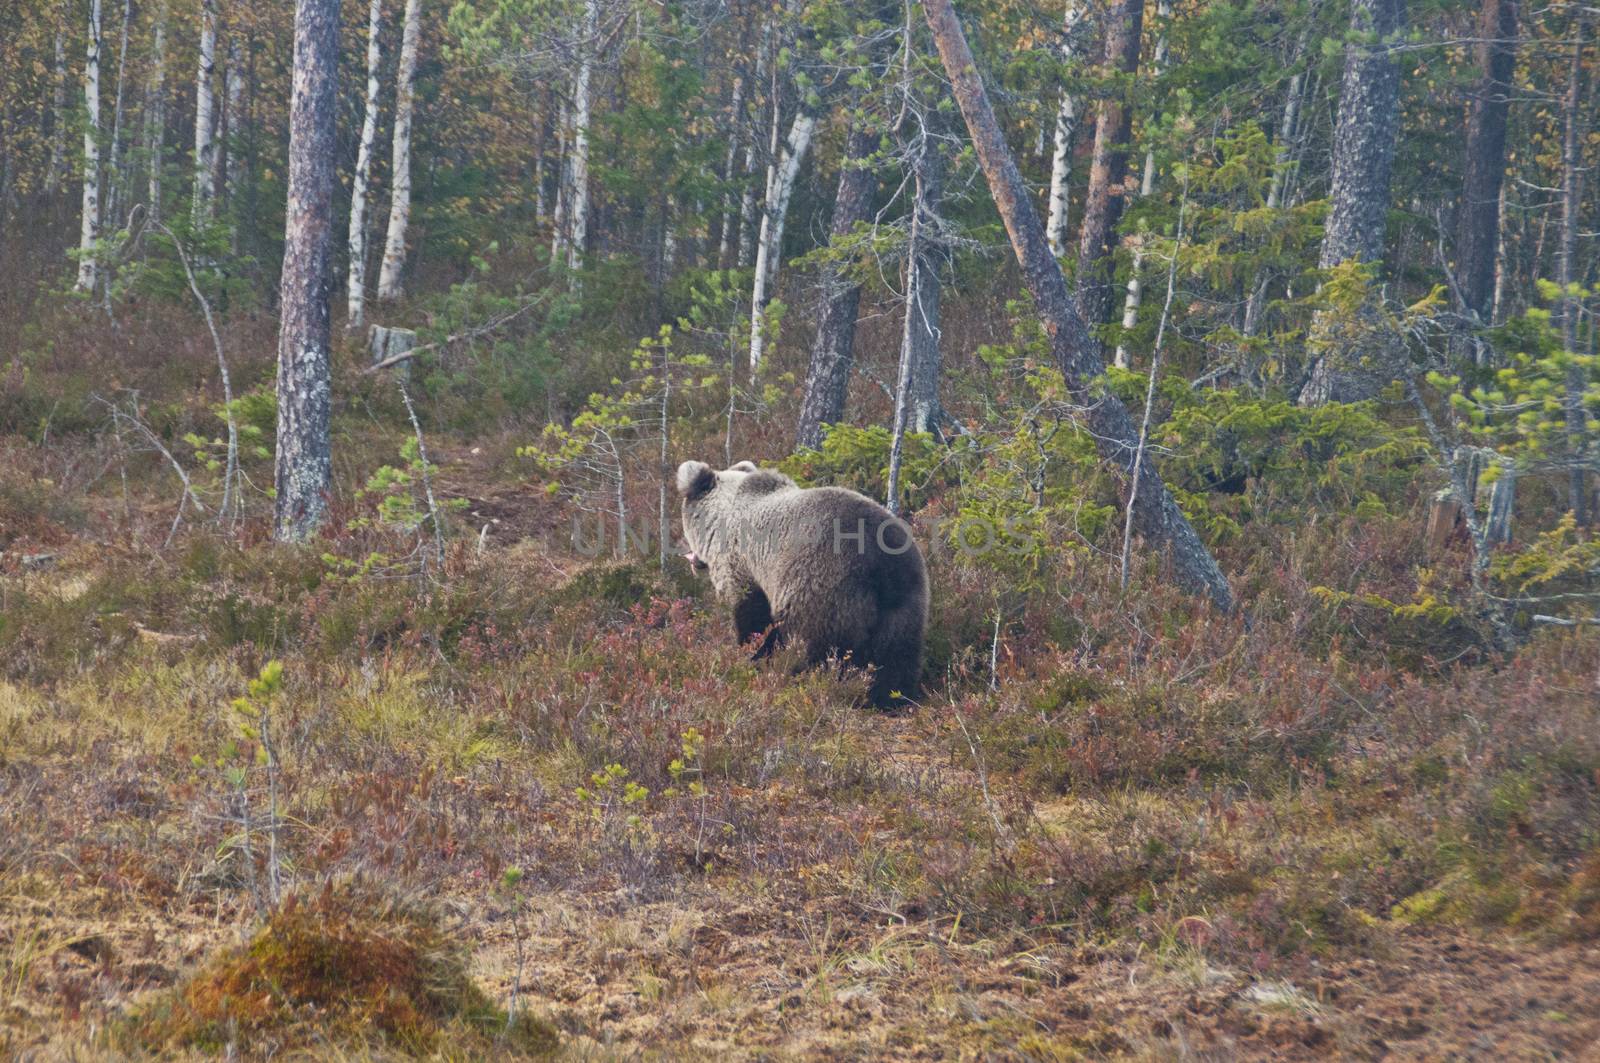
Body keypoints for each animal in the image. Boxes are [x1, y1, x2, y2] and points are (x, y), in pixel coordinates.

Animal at [675, 457, 928, 704]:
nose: (691, 558)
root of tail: (880, 562)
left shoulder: (745, 567)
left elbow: (754, 619)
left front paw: (752, 657)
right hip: (906, 598)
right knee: (898, 653)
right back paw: (891, 696)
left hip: (821, 585)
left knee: (814, 645)